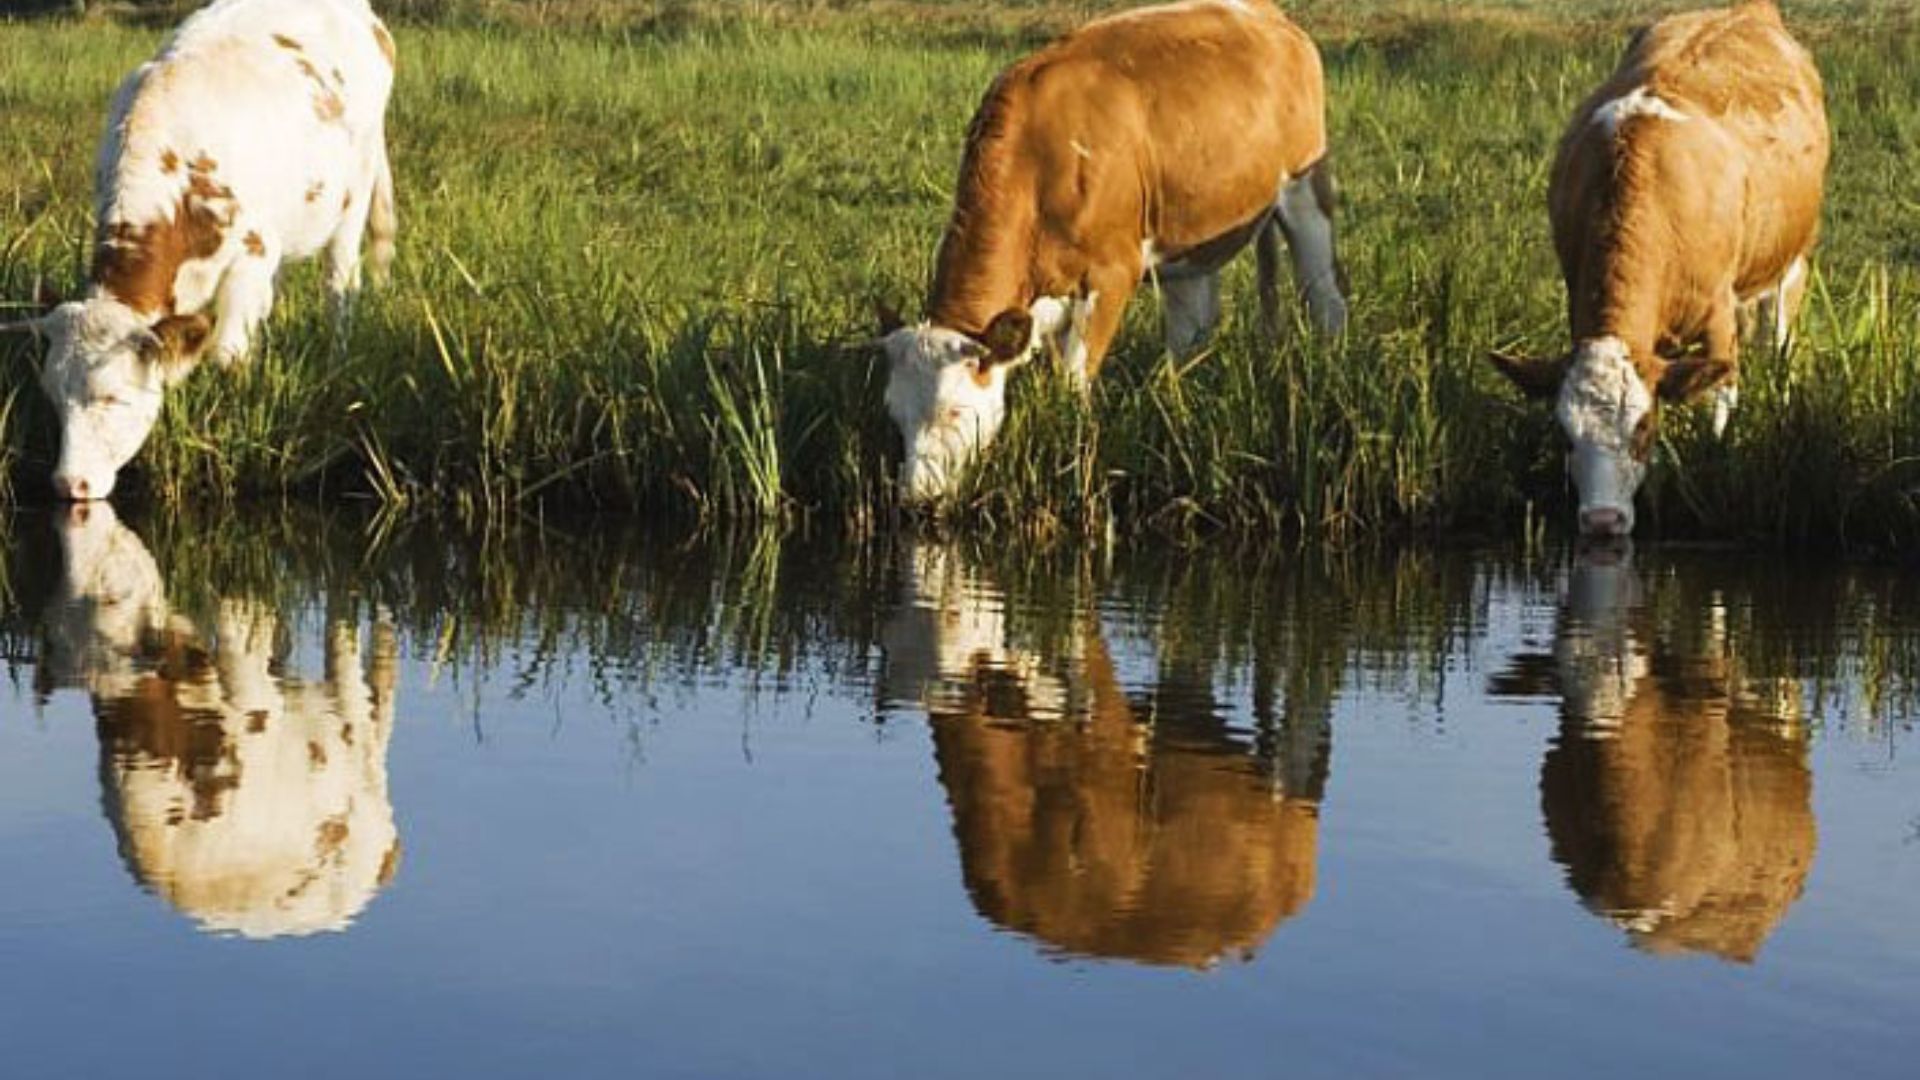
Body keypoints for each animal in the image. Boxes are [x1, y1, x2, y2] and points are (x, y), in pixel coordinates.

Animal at [0, 0, 398, 501]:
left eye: (113, 397)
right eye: (53, 397)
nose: (71, 483)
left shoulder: (252, 253)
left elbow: (227, 353)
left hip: (353, 197)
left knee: (340, 286)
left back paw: (335, 362)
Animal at [878, 0, 1349, 501]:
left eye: (953, 410)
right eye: (894, 413)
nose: (916, 497)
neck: (1039, 162)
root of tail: (1274, 19)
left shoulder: (1112, 272)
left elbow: (1072, 380)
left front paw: (1070, 452)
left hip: (1306, 193)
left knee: (1326, 299)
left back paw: (1332, 376)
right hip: (1191, 232)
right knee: (1192, 327)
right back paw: (1172, 398)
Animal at [1489, 0, 1828, 538]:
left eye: (1643, 427)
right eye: (1564, 435)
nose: (1602, 520)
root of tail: (1746, 10)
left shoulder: (1717, 317)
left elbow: (1719, 400)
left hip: (1789, 263)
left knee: (1778, 341)